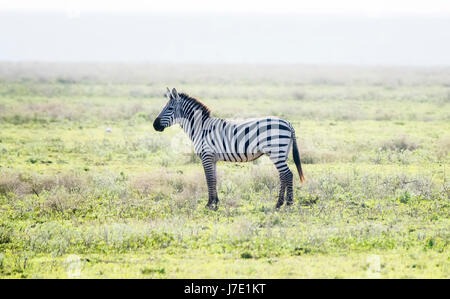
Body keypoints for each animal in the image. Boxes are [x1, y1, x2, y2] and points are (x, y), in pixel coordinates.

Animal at [153, 88, 304, 211]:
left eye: (170, 108)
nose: (155, 125)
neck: (201, 128)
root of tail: (287, 123)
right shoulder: (212, 159)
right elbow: (214, 179)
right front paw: (215, 203)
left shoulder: (206, 156)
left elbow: (209, 180)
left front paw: (209, 204)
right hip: (281, 153)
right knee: (283, 175)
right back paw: (279, 204)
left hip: (276, 152)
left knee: (288, 174)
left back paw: (288, 204)